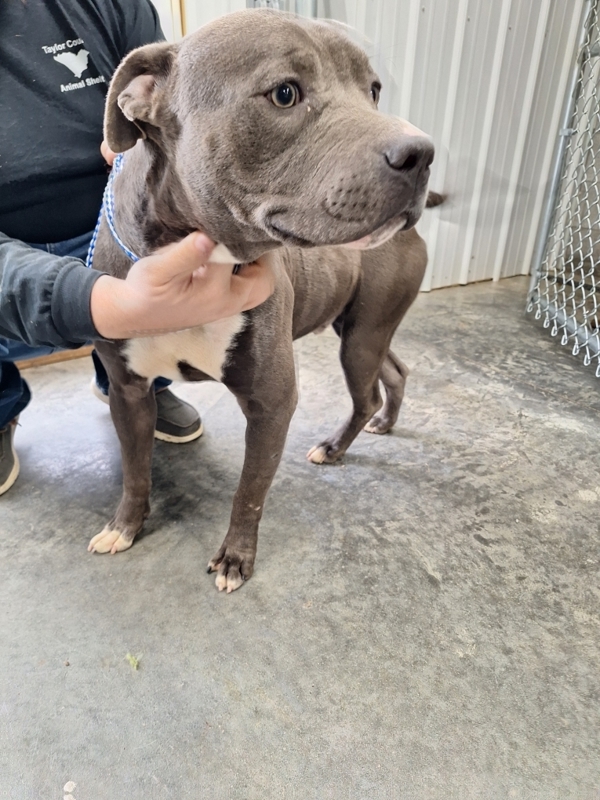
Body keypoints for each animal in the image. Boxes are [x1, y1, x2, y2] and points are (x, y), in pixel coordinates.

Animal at [88, 9, 436, 592]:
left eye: (373, 91)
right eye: (285, 93)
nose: (423, 152)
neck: (196, 269)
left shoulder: (272, 402)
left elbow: (249, 492)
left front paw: (235, 558)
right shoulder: (128, 391)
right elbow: (136, 470)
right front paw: (124, 526)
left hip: (362, 335)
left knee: (365, 392)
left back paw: (337, 446)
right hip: (362, 326)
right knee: (393, 369)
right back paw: (384, 423)